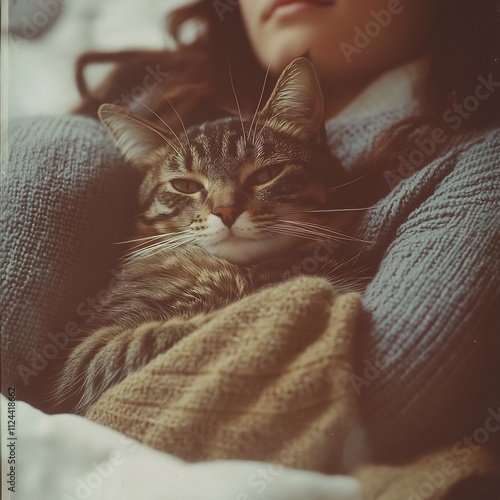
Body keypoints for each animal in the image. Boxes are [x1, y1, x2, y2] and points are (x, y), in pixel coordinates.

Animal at [55, 57, 368, 414]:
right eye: (185, 185)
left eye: (267, 175)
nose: (226, 211)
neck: (242, 274)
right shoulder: (87, 355)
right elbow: (189, 330)